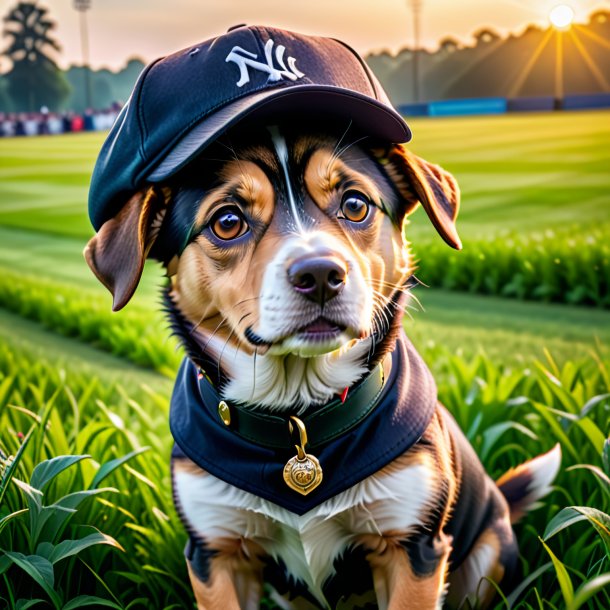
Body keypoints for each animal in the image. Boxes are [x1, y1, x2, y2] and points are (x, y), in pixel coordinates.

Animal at [83, 26, 560, 604]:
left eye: (355, 204)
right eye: (227, 221)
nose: (320, 274)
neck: (298, 416)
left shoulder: (413, 548)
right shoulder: (216, 553)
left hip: (486, 550)